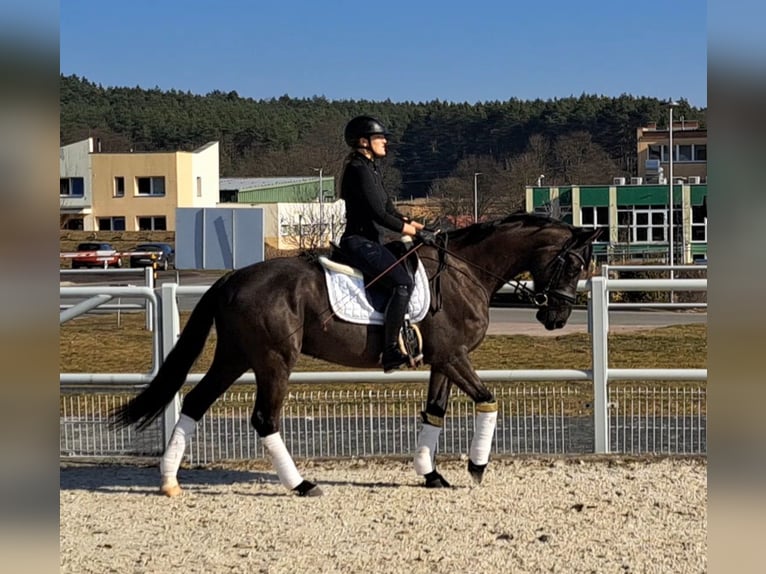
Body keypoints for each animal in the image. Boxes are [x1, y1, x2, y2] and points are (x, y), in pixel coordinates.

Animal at [112, 213, 601, 497]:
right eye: (575, 264)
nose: (557, 316)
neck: (465, 272)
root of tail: (232, 278)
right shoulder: (454, 355)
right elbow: (487, 400)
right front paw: (477, 466)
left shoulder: (443, 360)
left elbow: (434, 413)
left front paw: (431, 475)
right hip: (273, 360)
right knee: (264, 419)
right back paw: (301, 484)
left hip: (235, 357)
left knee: (195, 402)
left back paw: (169, 481)